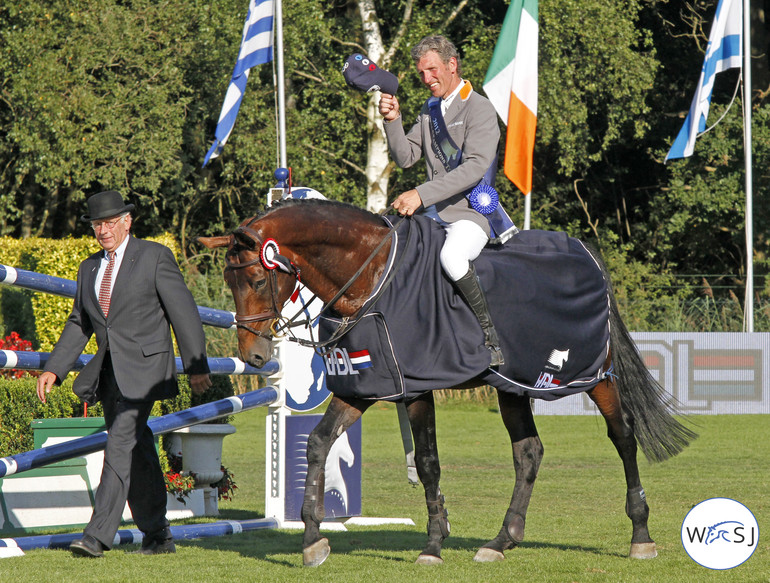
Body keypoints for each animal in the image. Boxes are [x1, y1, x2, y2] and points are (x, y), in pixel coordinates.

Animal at [198, 198, 696, 568]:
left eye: (257, 279)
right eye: (228, 279)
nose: (253, 356)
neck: (370, 274)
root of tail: (586, 253)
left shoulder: (417, 387)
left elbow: (428, 463)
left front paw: (433, 545)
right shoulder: (364, 385)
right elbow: (319, 443)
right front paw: (312, 540)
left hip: (595, 376)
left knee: (623, 435)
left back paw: (640, 534)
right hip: (514, 385)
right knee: (528, 452)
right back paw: (501, 540)